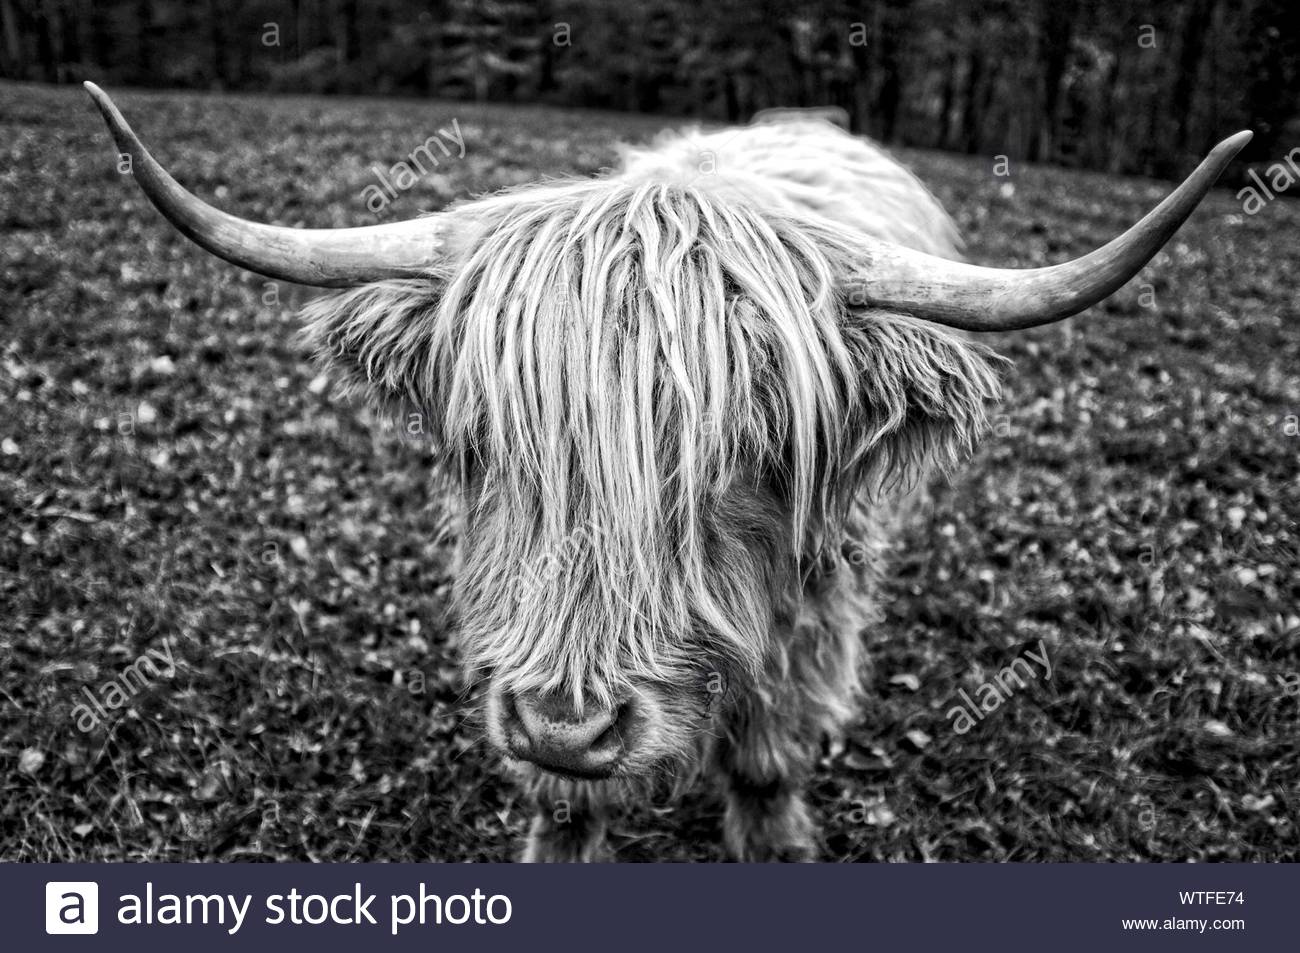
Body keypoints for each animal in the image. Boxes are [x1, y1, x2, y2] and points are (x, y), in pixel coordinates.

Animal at [83, 82, 1249, 862]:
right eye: (489, 440)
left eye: (743, 459)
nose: (567, 723)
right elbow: (563, 804)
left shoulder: (814, 605)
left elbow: (768, 757)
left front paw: (776, 841)